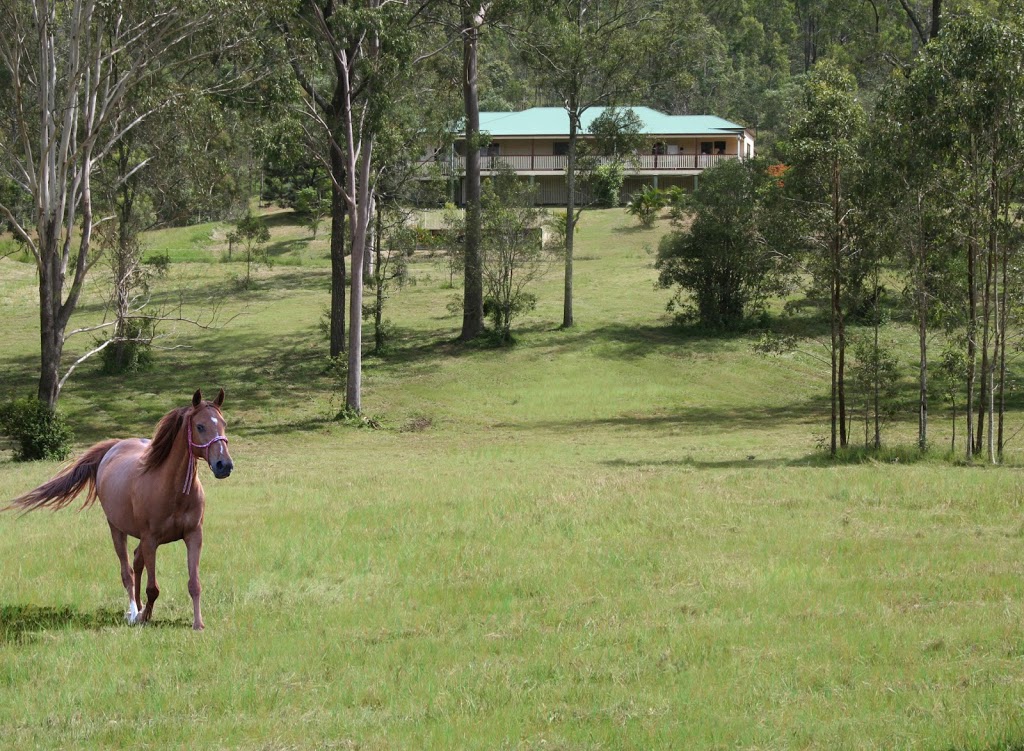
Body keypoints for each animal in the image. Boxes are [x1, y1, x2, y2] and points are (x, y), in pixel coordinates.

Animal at [4, 389, 232, 631]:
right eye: (200, 426)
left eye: (224, 424)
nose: (224, 465)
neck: (172, 490)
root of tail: (114, 447)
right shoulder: (150, 540)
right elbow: (153, 588)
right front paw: (142, 617)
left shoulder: (193, 536)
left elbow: (194, 583)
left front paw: (198, 624)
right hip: (116, 530)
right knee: (127, 571)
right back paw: (133, 612)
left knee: (137, 562)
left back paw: (139, 608)